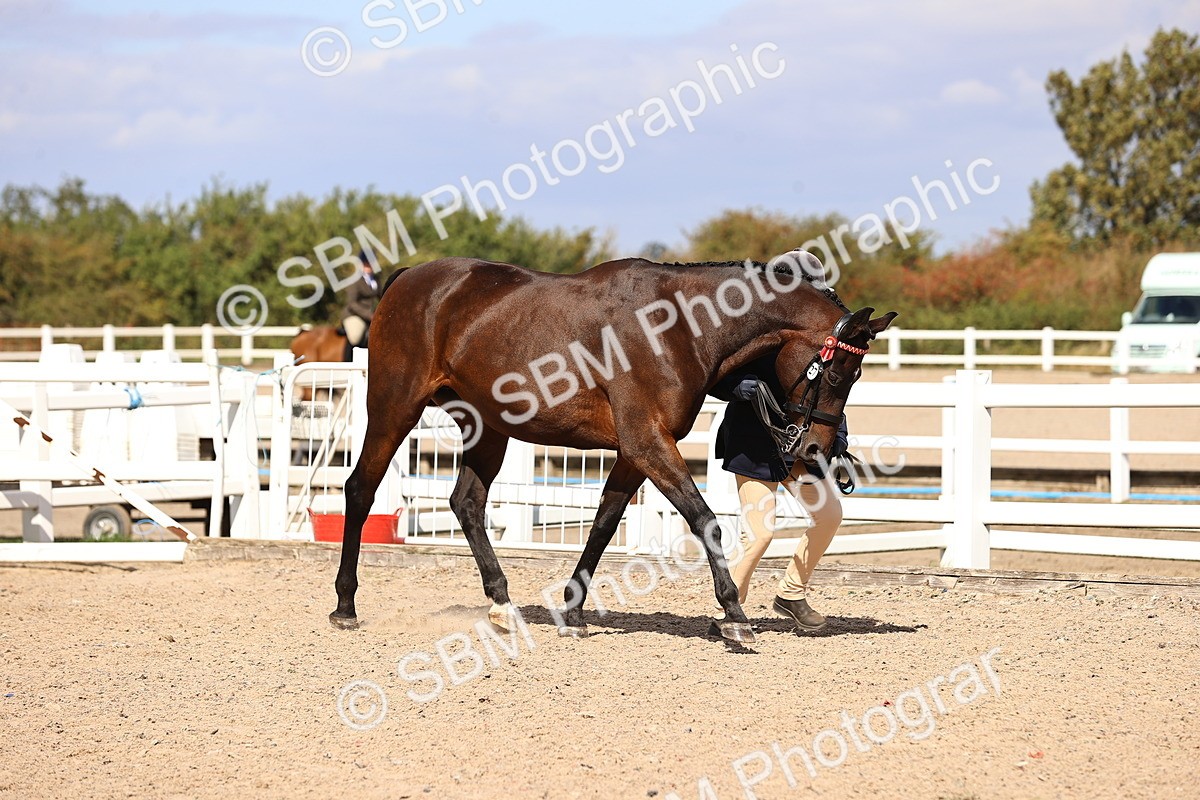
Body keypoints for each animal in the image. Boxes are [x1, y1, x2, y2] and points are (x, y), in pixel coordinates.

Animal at [330, 255, 896, 644]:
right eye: (839, 373)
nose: (818, 447)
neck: (678, 326)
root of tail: (410, 278)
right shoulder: (648, 443)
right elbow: (705, 520)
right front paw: (734, 616)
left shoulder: (634, 451)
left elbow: (603, 525)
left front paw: (573, 613)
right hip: (394, 408)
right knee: (360, 488)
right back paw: (345, 605)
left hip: (487, 426)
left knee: (466, 503)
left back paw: (502, 605)